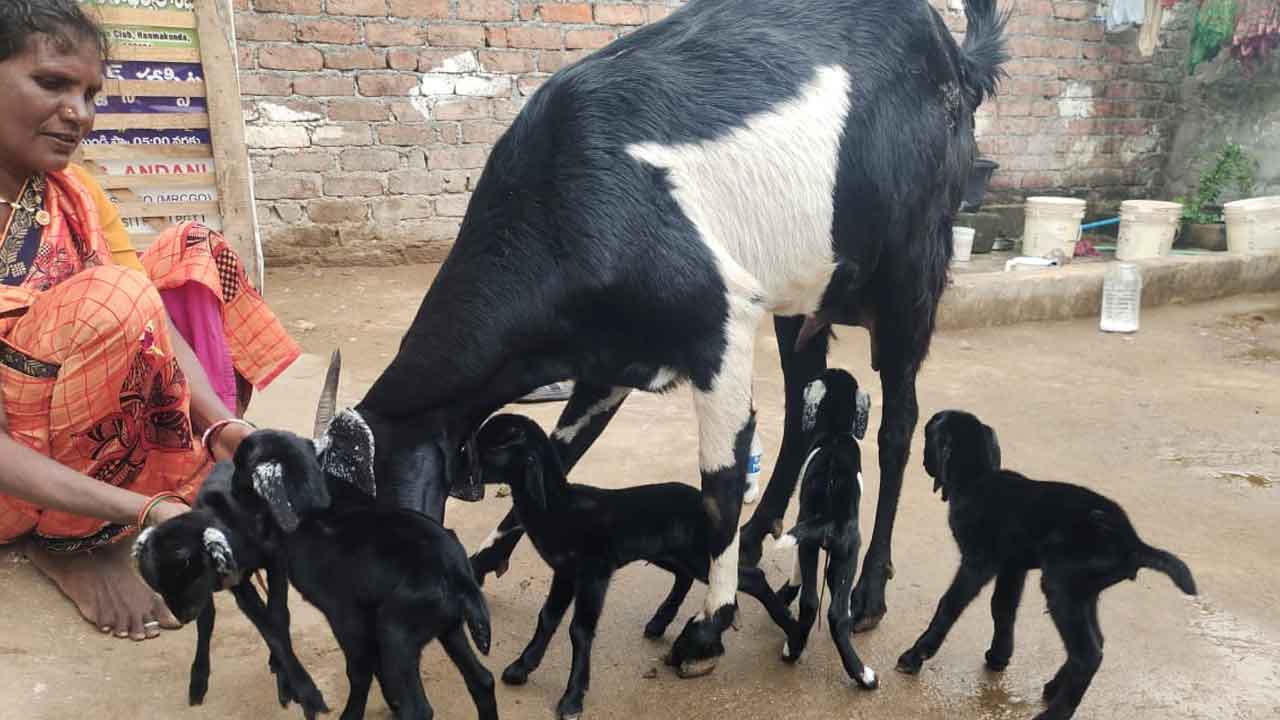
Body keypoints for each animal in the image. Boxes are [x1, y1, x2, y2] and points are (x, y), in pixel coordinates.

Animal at [470, 413, 803, 719]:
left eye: (488, 447)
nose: (462, 477)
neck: (558, 507)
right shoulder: (565, 571)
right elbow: (548, 617)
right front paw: (520, 668)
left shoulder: (594, 571)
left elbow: (580, 630)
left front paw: (572, 699)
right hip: (669, 553)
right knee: (685, 576)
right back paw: (659, 622)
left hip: (698, 553)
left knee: (751, 576)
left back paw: (793, 634)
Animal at [770, 368, 876, 689]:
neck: (836, 433)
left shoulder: (803, 538)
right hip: (848, 551)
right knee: (831, 613)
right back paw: (862, 674)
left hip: (815, 545)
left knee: (812, 604)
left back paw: (795, 650)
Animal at [895, 410, 1198, 720]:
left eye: (926, 433)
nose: (921, 462)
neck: (978, 479)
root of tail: (1133, 544)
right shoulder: (1012, 565)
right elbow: (1002, 608)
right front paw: (999, 656)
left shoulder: (978, 562)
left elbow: (950, 604)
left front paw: (915, 655)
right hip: (1084, 591)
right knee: (1096, 642)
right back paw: (1054, 688)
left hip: (1061, 587)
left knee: (1088, 654)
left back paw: (1055, 712)